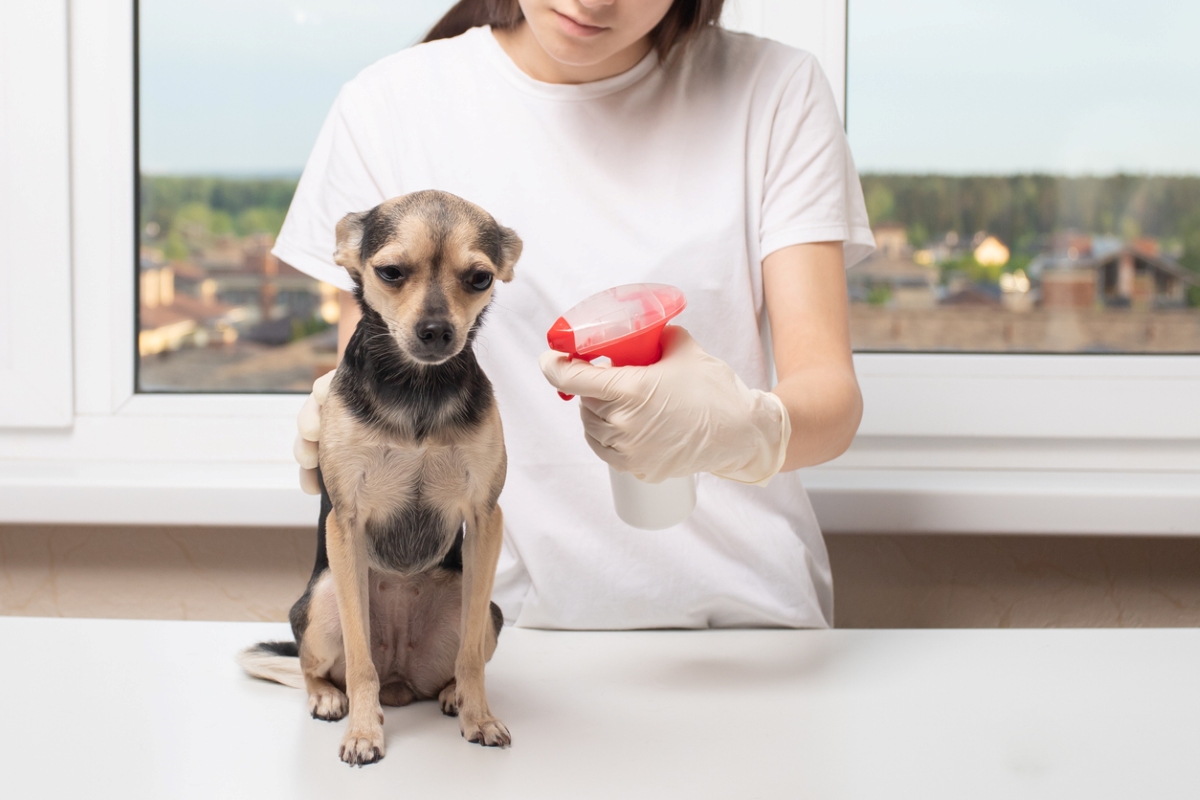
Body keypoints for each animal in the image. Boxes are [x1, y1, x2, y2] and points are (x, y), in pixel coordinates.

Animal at [241, 190, 523, 767]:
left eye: (479, 278)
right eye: (390, 271)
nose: (437, 330)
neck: (416, 388)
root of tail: (401, 680)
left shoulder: (485, 519)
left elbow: (471, 660)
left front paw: (479, 717)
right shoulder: (346, 522)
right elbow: (359, 659)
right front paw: (363, 733)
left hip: (484, 610)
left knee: (458, 658)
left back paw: (451, 696)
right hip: (321, 601)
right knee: (318, 666)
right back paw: (329, 698)